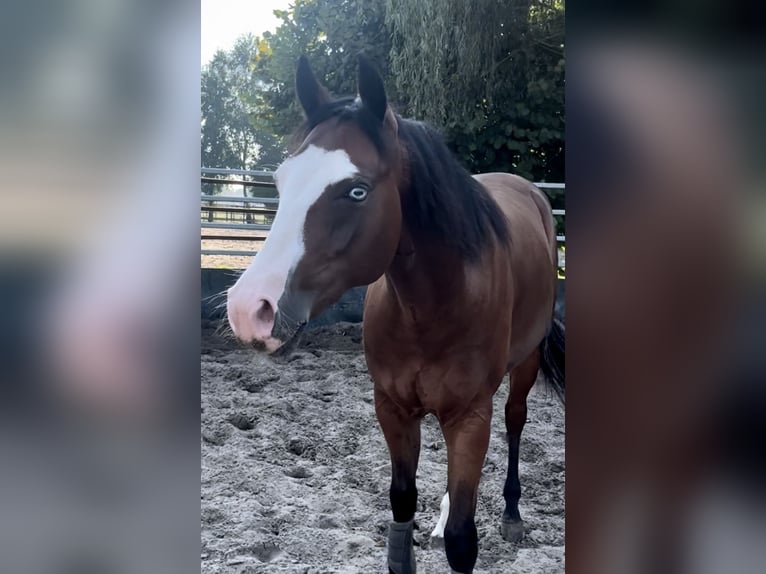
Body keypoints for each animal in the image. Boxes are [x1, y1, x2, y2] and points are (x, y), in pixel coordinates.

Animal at [226, 55, 564, 574]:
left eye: (357, 191)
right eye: (281, 182)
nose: (249, 309)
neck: (432, 305)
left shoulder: (470, 414)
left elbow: (463, 539)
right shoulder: (393, 408)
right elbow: (402, 507)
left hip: (523, 366)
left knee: (514, 422)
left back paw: (511, 514)